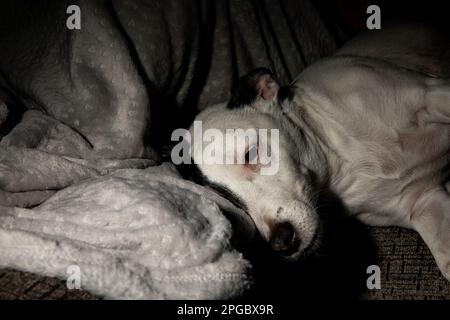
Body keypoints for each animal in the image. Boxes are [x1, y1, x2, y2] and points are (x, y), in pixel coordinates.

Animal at [190, 22, 450, 282]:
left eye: (250, 154)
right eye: (232, 201)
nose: (282, 243)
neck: (344, 163)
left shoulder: (431, 93)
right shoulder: (424, 202)